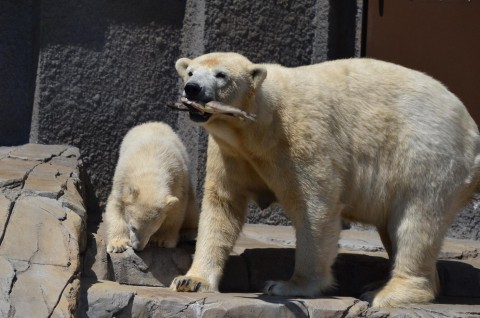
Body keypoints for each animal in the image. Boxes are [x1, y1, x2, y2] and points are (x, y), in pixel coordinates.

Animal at [170, 52, 480, 308]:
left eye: (221, 74)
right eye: (190, 72)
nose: (192, 88)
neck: (259, 126)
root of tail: (471, 127)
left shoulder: (300, 138)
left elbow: (314, 207)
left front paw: (288, 285)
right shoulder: (230, 152)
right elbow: (222, 206)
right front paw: (190, 280)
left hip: (427, 154)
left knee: (415, 222)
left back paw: (387, 293)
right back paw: (377, 285)